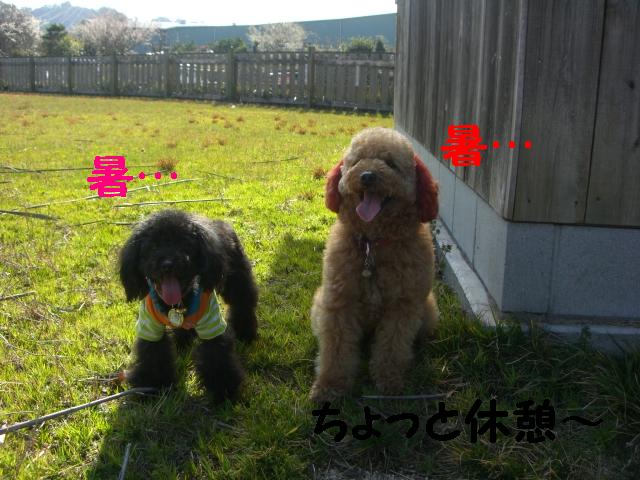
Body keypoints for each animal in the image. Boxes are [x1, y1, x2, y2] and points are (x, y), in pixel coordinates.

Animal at [119, 209, 258, 402]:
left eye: (184, 245)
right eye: (153, 247)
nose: (167, 265)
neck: (177, 305)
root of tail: (220, 222)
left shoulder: (211, 321)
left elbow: (216, 355)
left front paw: (223, 390)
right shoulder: (149, 325)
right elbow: (152, 354)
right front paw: (154, 386)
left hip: (237, 279)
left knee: (243, 303)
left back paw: (245, 334)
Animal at [310, 127, 439, 402]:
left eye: (390, 163)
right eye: (357, 161)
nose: (367, 176)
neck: (374, 243)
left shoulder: (402, 306)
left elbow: (392, 346)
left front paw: (389, 380)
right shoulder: (339, 303)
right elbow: (336, 350)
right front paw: (329, 386)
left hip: (428, 309)